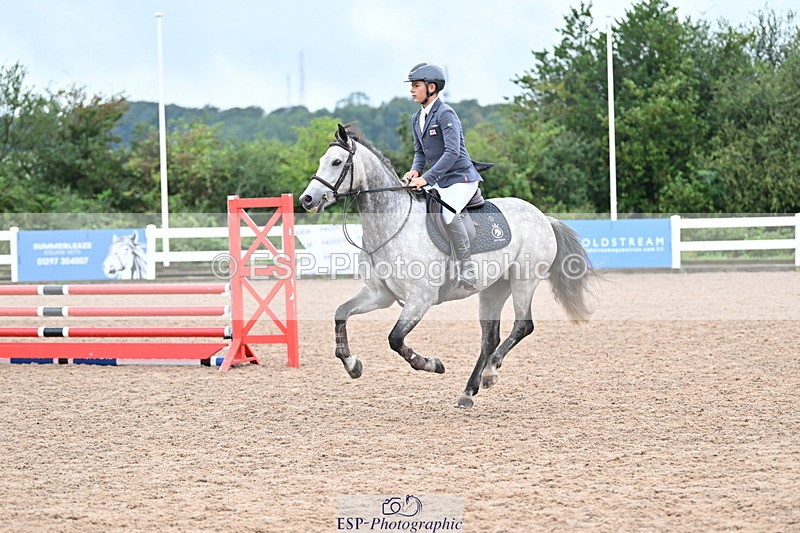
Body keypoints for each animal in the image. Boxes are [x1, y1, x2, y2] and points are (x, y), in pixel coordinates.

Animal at [299, 123, 597, 408]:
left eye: (337, 162)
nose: (307, 199)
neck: (391, 226)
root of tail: (543, 217)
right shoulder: (379, 295)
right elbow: (341, 313)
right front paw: (353, 365)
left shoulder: (421, 298)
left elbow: (395, 339)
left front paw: (432, 364)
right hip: (494, 288)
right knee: (490, 338)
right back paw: (468, 392)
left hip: (524, 279)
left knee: (523, 326)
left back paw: (491, 372)